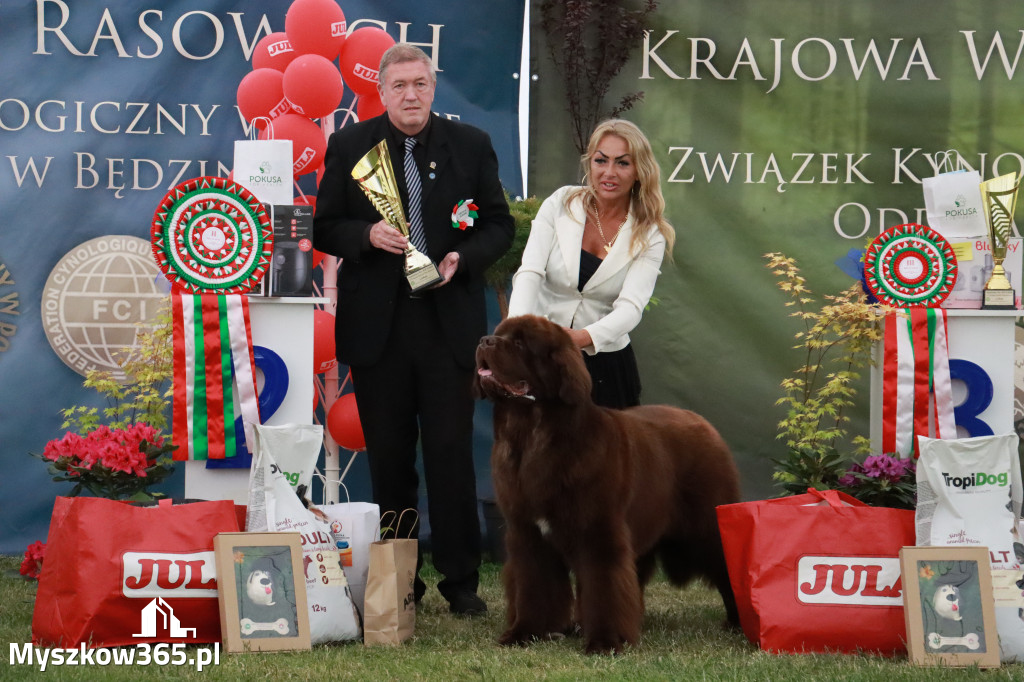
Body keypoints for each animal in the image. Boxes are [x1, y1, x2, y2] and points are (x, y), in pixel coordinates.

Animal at [475, 315, 741, 655]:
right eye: (499, 334)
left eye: (520, 343)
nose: (484, 341)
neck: (531, 435)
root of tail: (702, 422)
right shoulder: (527, 534)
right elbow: (532, 585)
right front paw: (525, 633)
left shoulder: (598, 530)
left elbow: (604, 585)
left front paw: (605, 642)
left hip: (707, 525)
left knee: (726, 565)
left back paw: (739, 622)